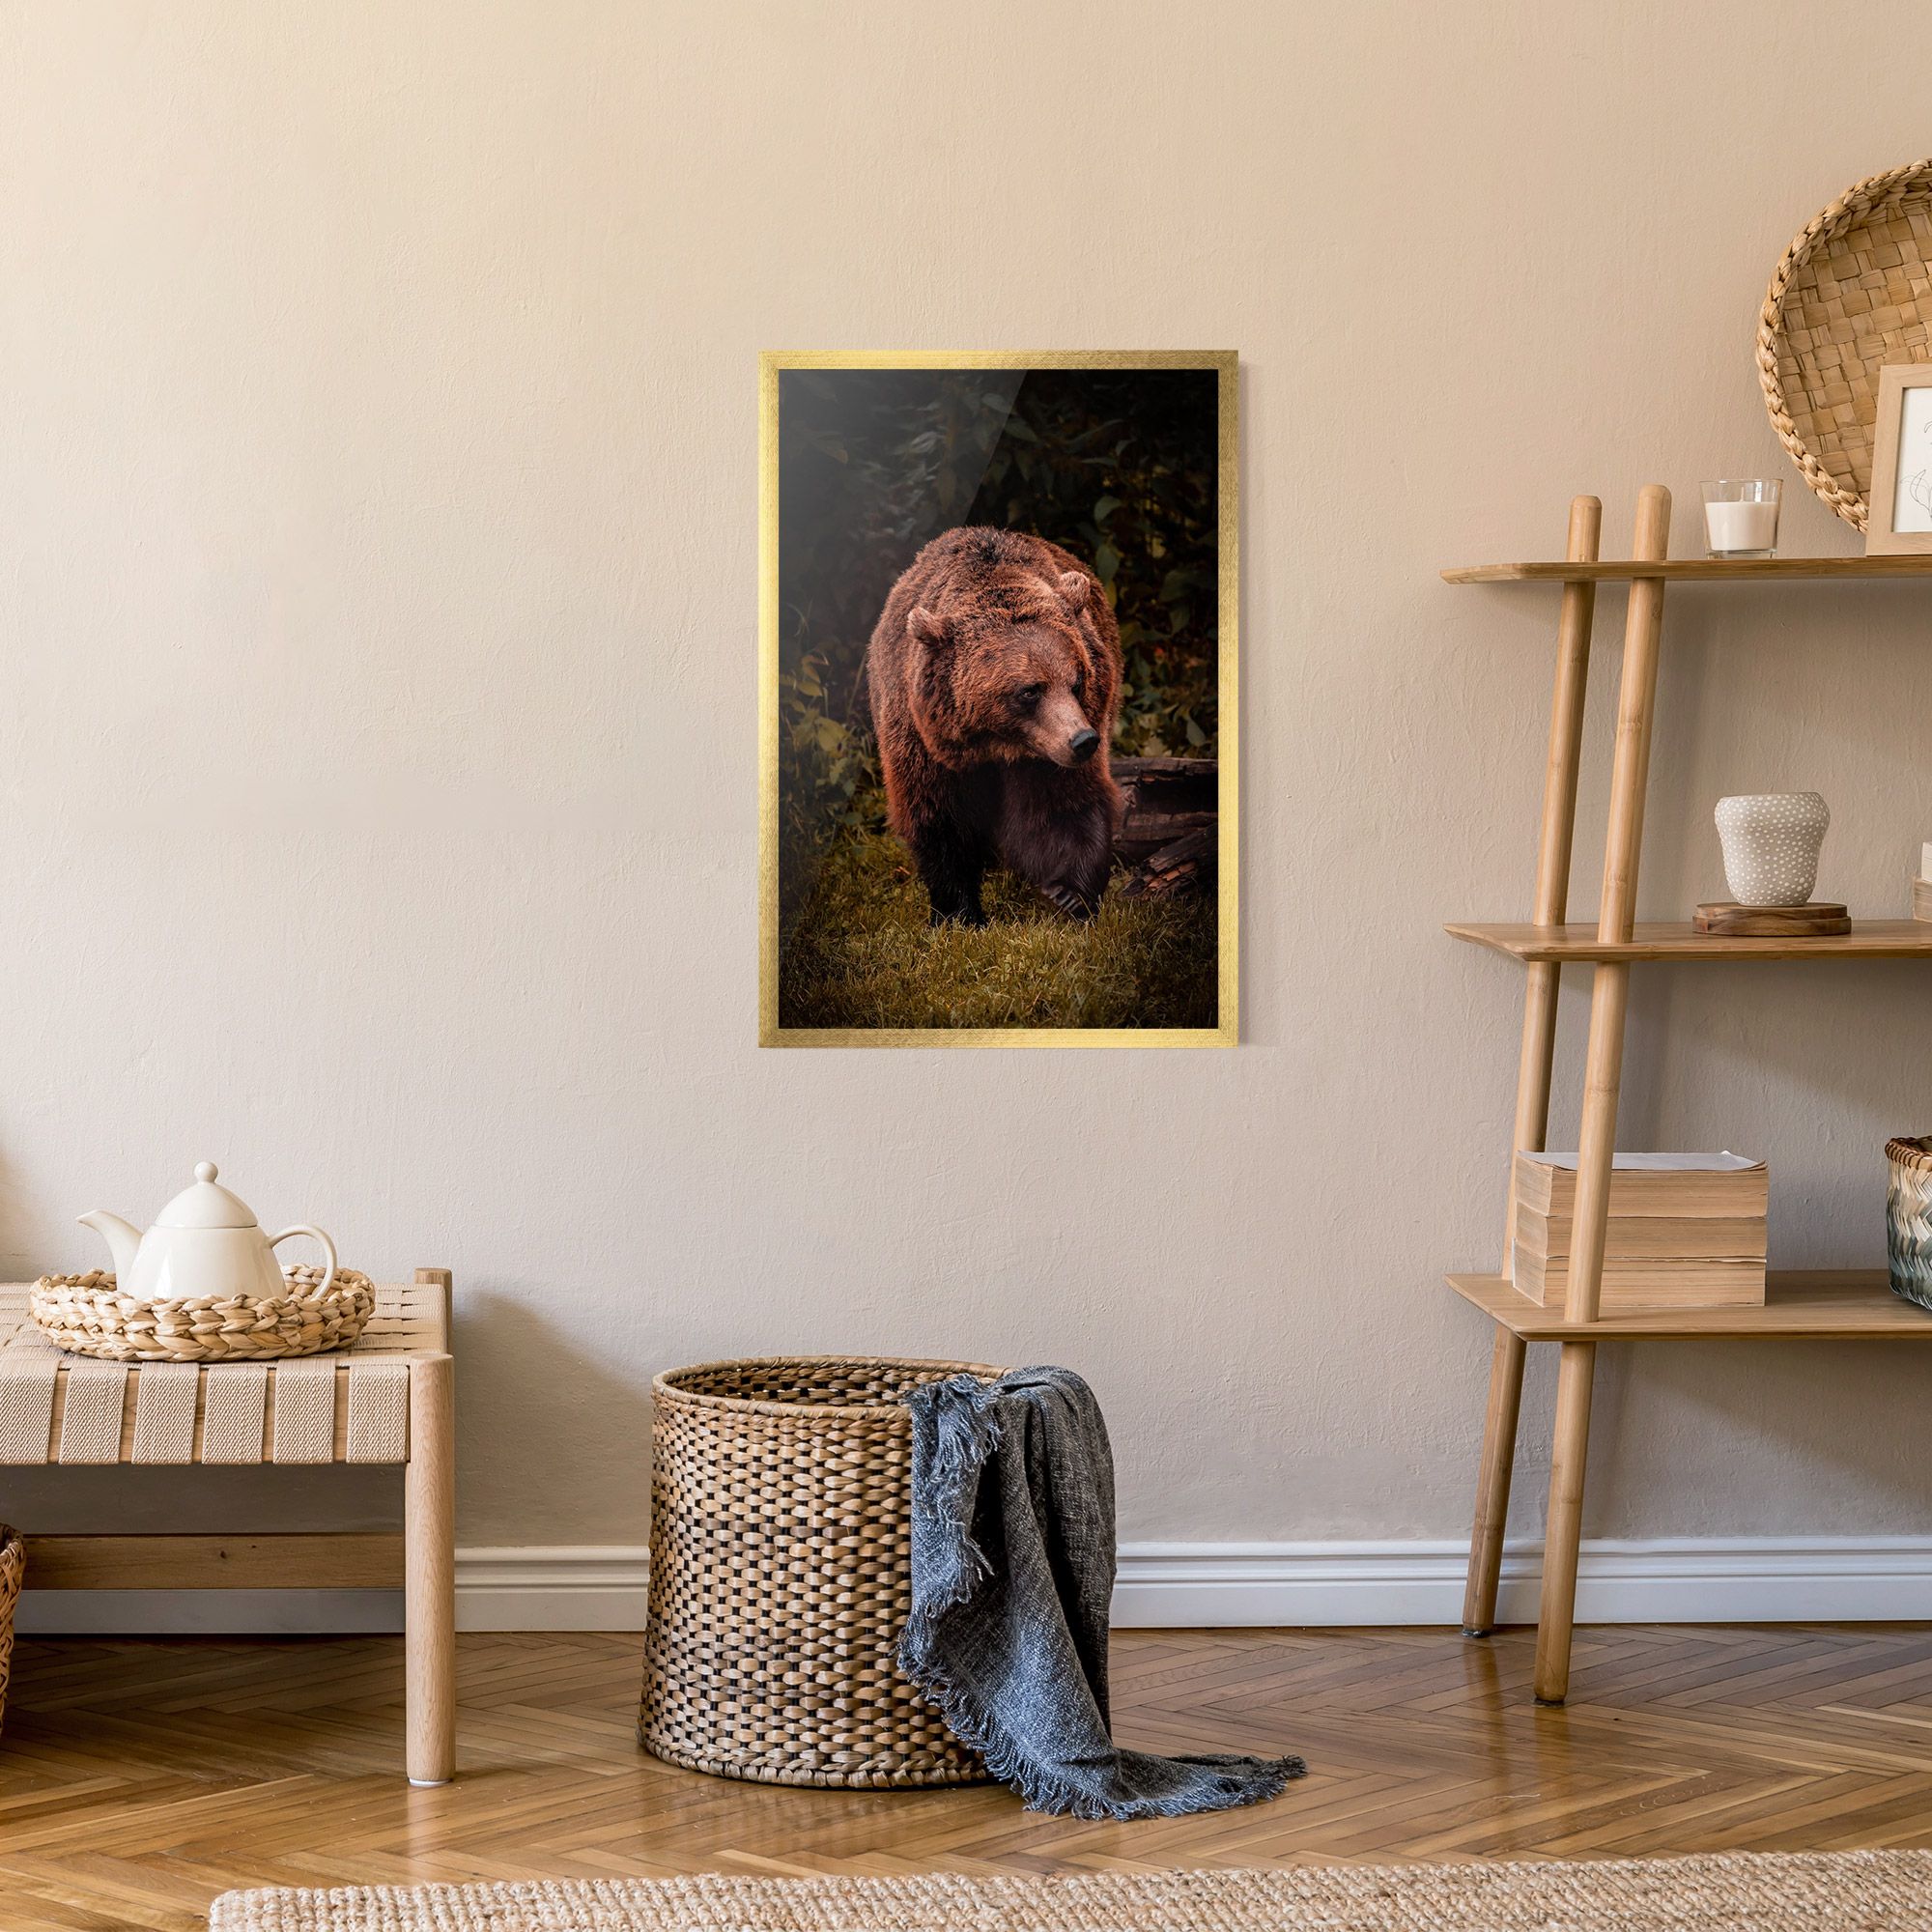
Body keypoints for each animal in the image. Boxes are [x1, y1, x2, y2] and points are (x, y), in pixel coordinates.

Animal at [866, 526, 1124, 926]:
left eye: (1077, 680)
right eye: (1030, 690)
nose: (1083, 740)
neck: (996, 745)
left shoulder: (1047, 753)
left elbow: (1063, 807)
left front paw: (1070, 894)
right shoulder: (922, 742)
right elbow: (939, 819)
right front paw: (958, 913)